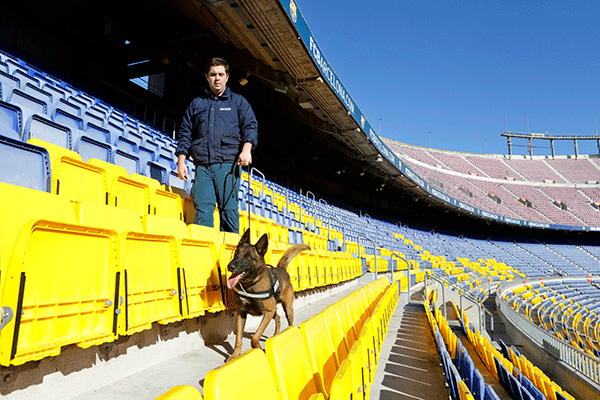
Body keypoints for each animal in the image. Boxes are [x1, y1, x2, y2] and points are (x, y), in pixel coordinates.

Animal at [225, 228, 310, 362]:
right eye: (237, 252)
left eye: (249, 257)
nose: (230, 266)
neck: (250, 285)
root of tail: (282, 269)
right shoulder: (241, 314)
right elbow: (238, 338)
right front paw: (235, 355)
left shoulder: (268, 311)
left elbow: (255, 336)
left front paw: (258, 348)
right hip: (272, 310)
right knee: (278, 318)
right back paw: (276, 335)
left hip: (286, 308)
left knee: (290, 322)